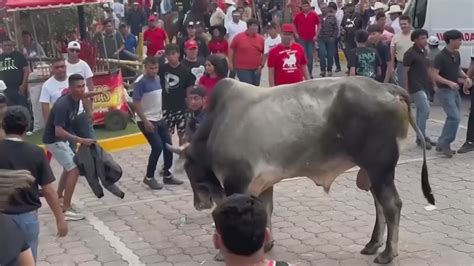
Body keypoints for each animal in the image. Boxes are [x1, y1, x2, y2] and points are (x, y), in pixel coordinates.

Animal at [168, 76, 436, 264]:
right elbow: (266, 210)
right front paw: (266, 244)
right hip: (373, 172)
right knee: (380, 205)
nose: (198, 204)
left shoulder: (237, 181)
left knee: (391, 205)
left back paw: (387, 253)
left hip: (380, 169)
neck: (217, 125)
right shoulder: (264, 183)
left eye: (189, 169)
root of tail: (387, 88)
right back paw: (372, 245)